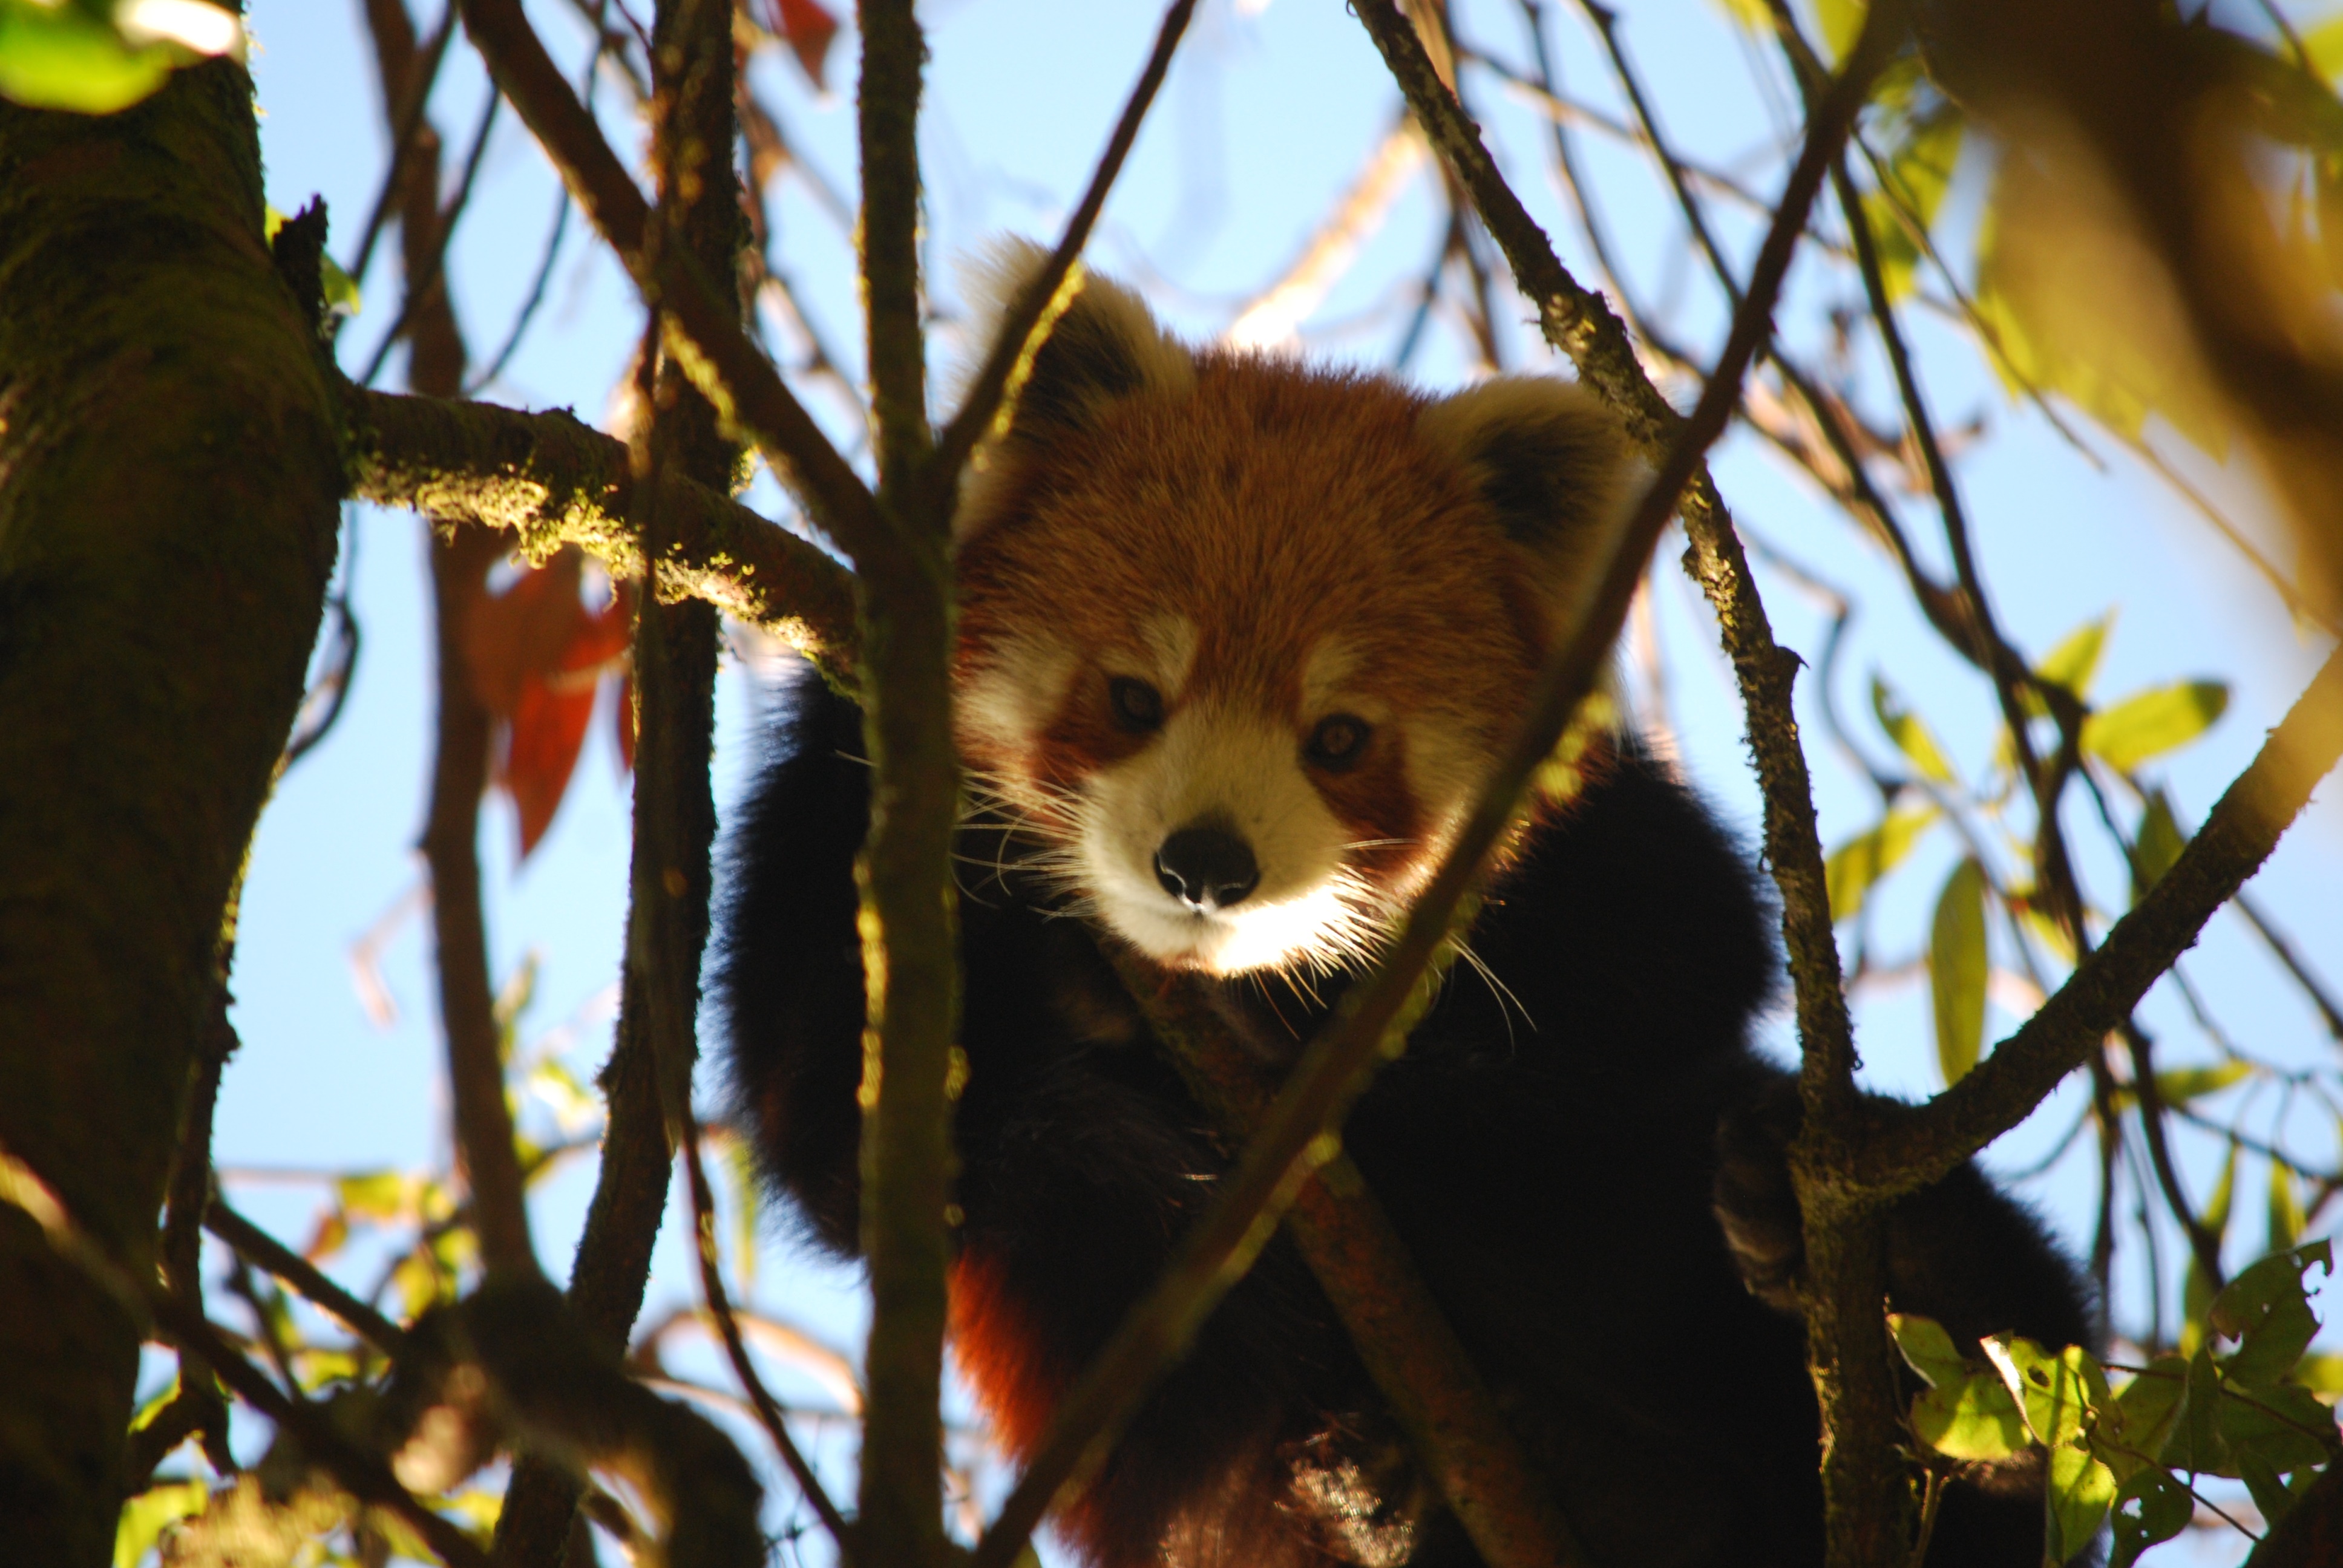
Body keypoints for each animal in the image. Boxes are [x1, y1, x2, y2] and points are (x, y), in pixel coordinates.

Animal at [712, 247, 2089, 1566]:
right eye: (1130, 698)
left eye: (1338, 738)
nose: (1204, 866)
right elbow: (841, 1145)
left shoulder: (1604, 841)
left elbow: (1678, 965)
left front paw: (1303, 1017)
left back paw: (1909, 1284)